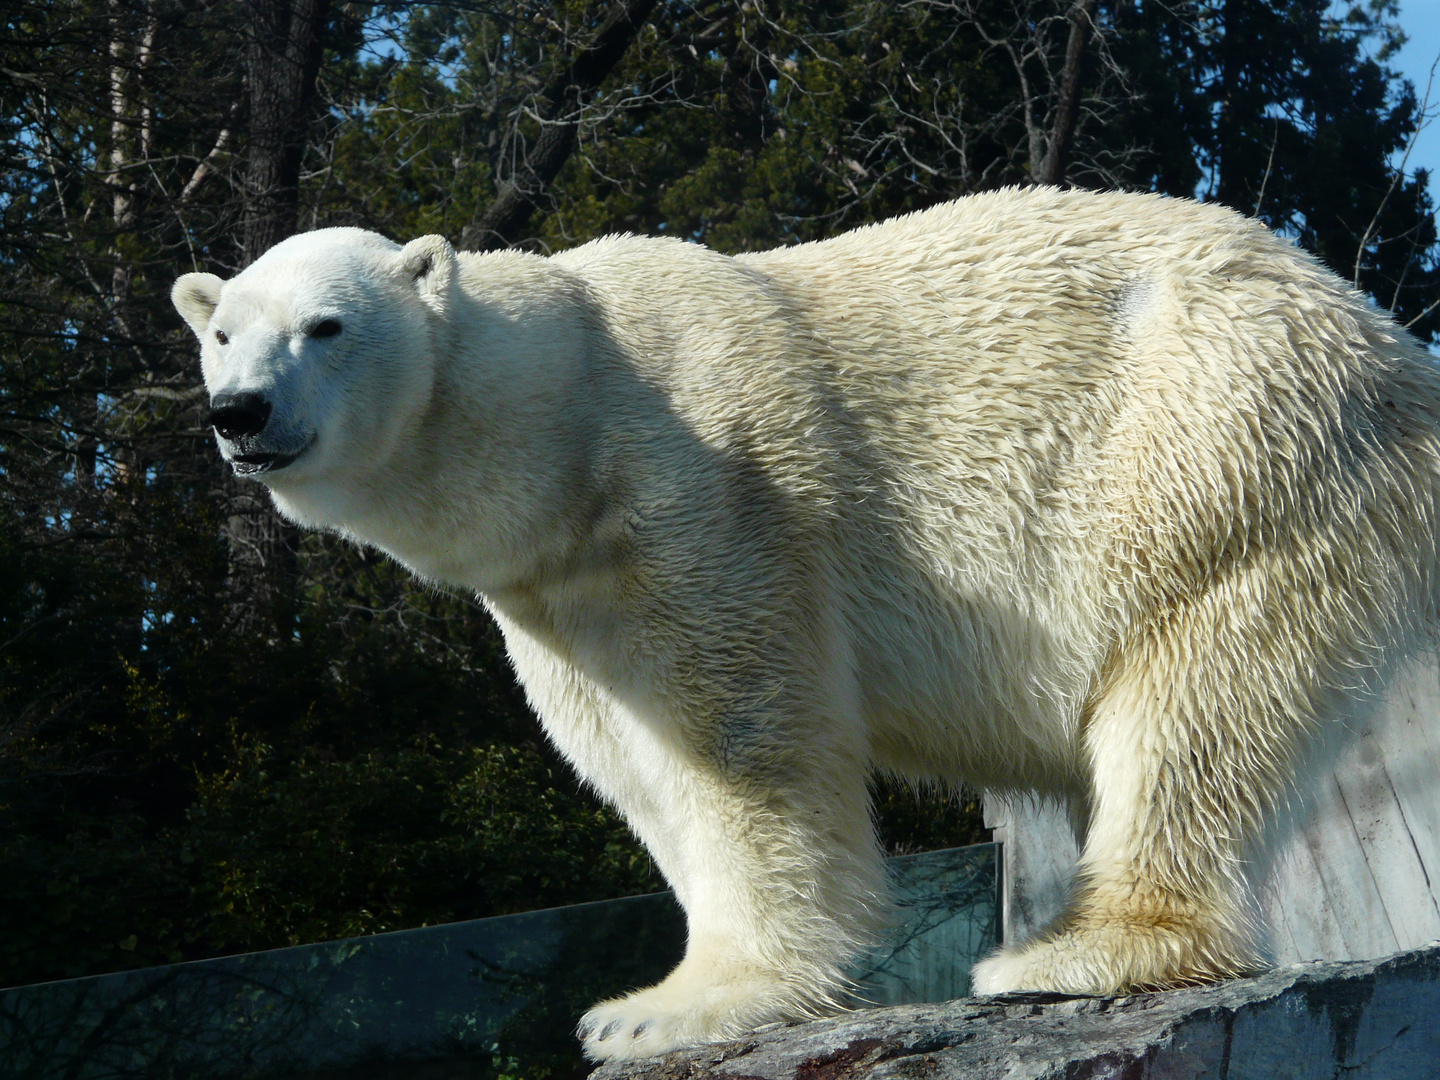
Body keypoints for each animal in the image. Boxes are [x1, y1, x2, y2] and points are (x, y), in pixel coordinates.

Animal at [174, 188, 1440, 1065]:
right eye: (224, 331)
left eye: (327, 326)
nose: (242, 414)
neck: (563, 419)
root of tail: (1394, 351)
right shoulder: (555, 591)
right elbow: (628, 761)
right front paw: (654, 999)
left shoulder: (706, 488)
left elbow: (738, 737)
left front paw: (678, 1006)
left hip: (1216, 452)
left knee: (1196, 699)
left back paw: (1077, 951)